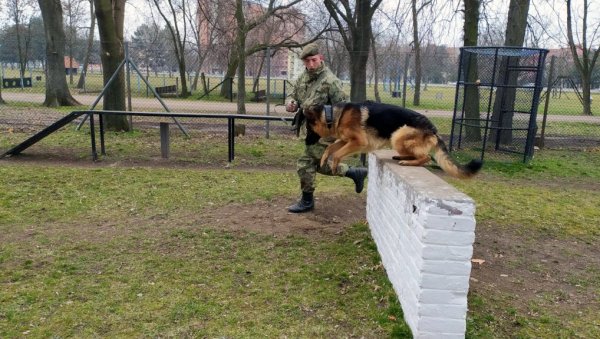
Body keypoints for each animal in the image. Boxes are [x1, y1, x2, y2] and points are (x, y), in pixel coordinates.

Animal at [304, 101, 482, 179]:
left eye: (308, 129)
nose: (306, 142)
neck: (333, 115)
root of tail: (433, 129)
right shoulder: (346, 140)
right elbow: (331, 148)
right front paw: (324, 159)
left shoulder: (358, 142)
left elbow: (337, 153)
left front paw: (334, 165)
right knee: (420, 156)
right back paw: (401, 157)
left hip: (398, 135)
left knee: (426, 157)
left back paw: (408, 162)